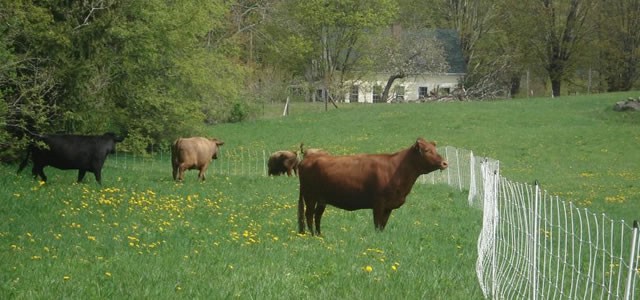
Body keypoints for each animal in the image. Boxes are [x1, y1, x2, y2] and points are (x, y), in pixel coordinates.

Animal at [298, 138, 448, 234]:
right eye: (427, 150)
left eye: (435, 149)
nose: (445, 163)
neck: (396, 169)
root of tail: (307, 157)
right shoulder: (378, 204)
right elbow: (377, 224)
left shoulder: (388, 206)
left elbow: (382, 226)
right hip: (310, 196)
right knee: (309, 215)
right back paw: (312, 235)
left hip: (322, 199)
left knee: (317, 216)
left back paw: (320, 235)